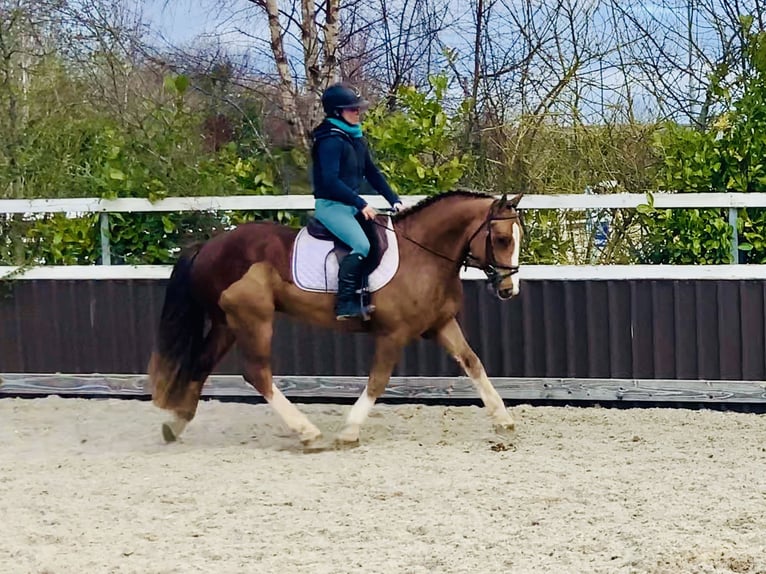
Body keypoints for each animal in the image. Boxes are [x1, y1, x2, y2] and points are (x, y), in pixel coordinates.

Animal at [148, 191, 524, 448]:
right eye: (502, 239)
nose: (509, 289)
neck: (423, 254)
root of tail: (210, 246)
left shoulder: (441, 324)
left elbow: (473, 362)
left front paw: (503, 419)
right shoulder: (392, 334)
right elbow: (378, 381)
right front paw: (349, 431)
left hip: (227, 324)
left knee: (202, 363)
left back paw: (175, 425)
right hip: (253, 320)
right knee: (257, 373)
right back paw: (306, 432)